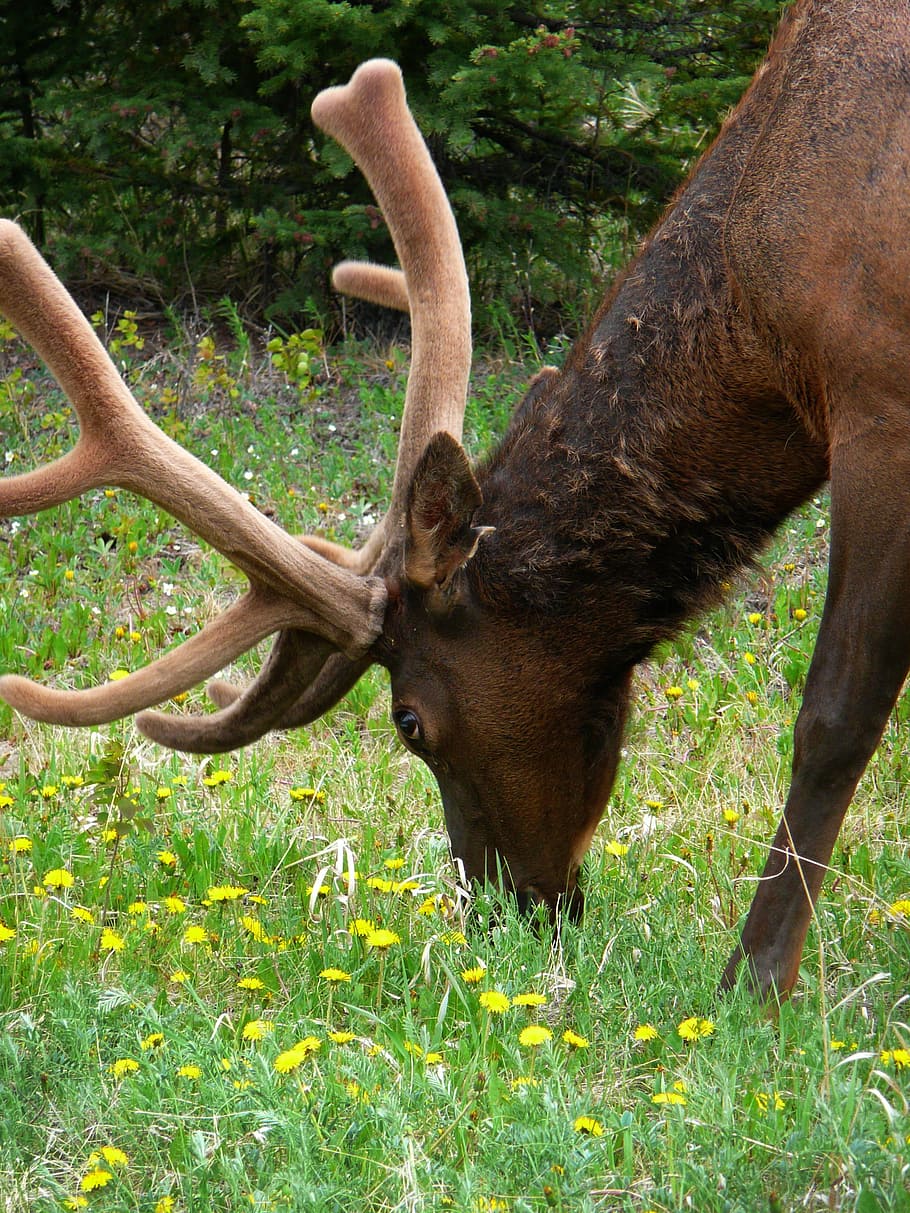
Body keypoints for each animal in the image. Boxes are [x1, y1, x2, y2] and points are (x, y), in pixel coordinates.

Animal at [1, 0, 908, 1001]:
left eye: (409, 721)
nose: (506, 914)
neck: (766, 303)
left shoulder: (880, 399)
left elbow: (834, 718)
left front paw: (754, 981)